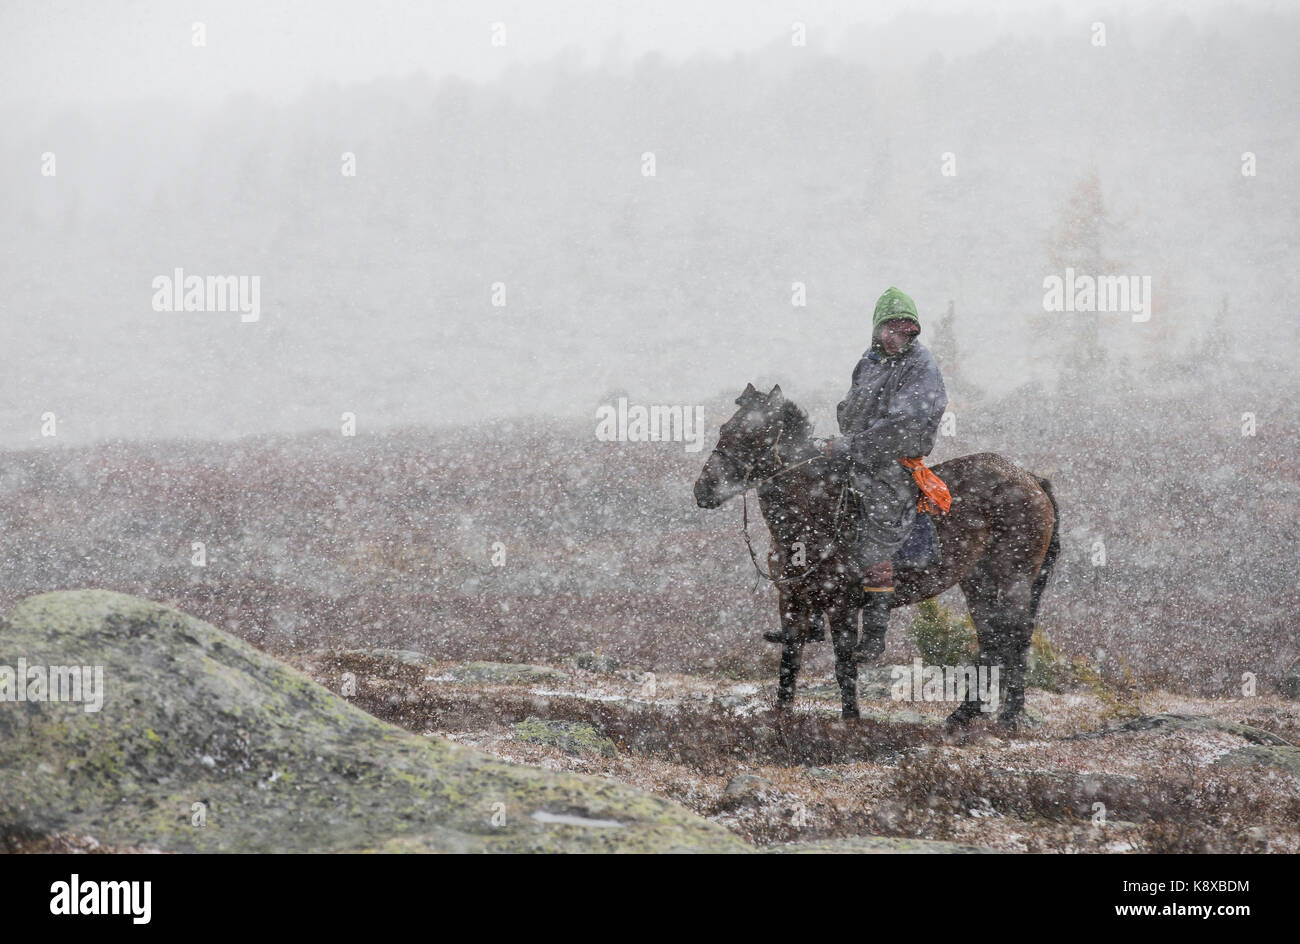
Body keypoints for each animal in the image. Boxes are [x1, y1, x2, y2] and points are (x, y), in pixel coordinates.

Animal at [691, 384, 1055, 733]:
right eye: (725, 428)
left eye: (755, 434)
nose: (703, 490)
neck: (815, 513)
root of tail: (1029, 477)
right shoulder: (792, 600)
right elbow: (790, 660)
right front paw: (781, 715)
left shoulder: (841, 604)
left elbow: (844, 663)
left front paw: (851, 718)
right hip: (977, 582)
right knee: (991, 639)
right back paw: (964, 714)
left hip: (1014, 579)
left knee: (1017, 637)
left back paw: (1009, 716)